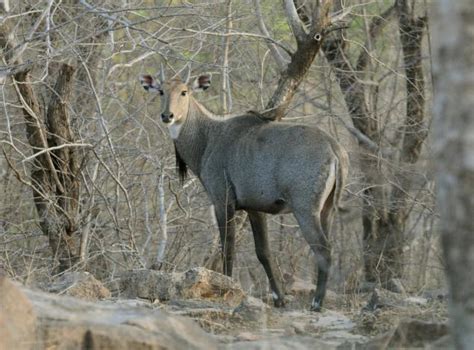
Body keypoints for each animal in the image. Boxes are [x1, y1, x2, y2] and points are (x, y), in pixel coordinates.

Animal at [140, 67, 348, 310]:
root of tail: (334, 149)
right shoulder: (254, 208)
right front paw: (279, 299)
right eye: (161, 91)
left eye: (184, 92)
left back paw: (316, 303)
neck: (208, 138)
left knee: (323, 250)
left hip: (305, 209)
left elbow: (227, 247)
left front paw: (227, 287)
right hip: (327, 209)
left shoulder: (222, 201)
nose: (168, 116)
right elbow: (263, 252)